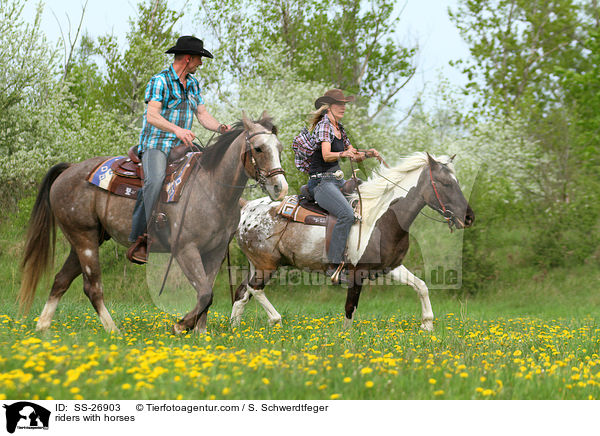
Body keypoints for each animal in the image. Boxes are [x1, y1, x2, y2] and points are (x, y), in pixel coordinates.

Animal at [18, 111, 288, 334]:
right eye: (259, 148)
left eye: (280, 147)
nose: (280, 187)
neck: (211, 188)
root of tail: (70, 169)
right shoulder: (185, 249)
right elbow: (205, 293)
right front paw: (181, 325)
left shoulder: (215, 252)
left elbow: (206, 292)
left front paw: (200, 334)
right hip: (83, 238)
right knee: (92, 288)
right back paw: (114, 331)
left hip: (85, 240)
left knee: (61, 280)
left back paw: (43, 327)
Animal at [232, 153, 476, 330]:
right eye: (445, 183)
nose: (469, 217)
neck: (380, 218)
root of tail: (246, 208)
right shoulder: (357, 273)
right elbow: (350, 308)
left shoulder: (391, 267)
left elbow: (421, 286)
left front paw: (427, 324)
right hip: (266, 264)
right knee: (254, 288)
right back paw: (276, 320)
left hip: (256, 265)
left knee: (242, 293)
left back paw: (234, 329)